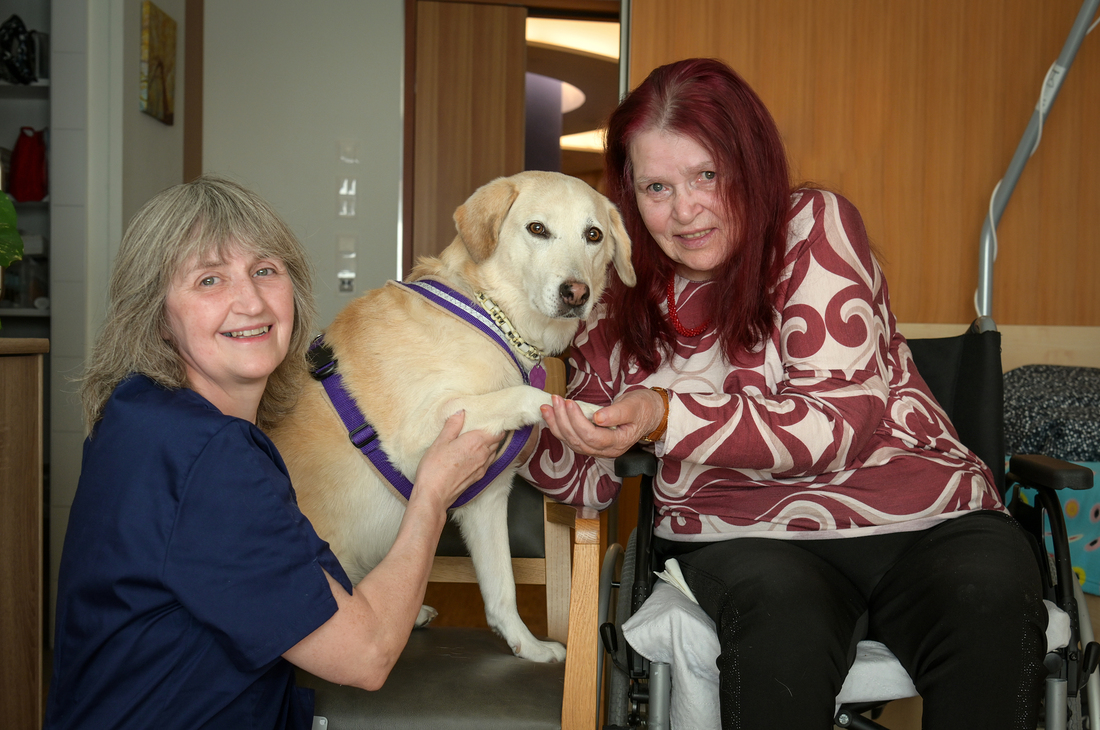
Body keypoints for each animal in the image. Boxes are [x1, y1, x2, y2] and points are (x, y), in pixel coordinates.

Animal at [270, 171, 638, 659]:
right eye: (537, 229)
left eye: (593, 235)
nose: (576, 293)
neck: (490, 316)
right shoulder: (421, 431)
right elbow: (525, 393)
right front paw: (587, 411)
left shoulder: (487, 499)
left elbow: (502, 590)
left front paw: (527, 646)